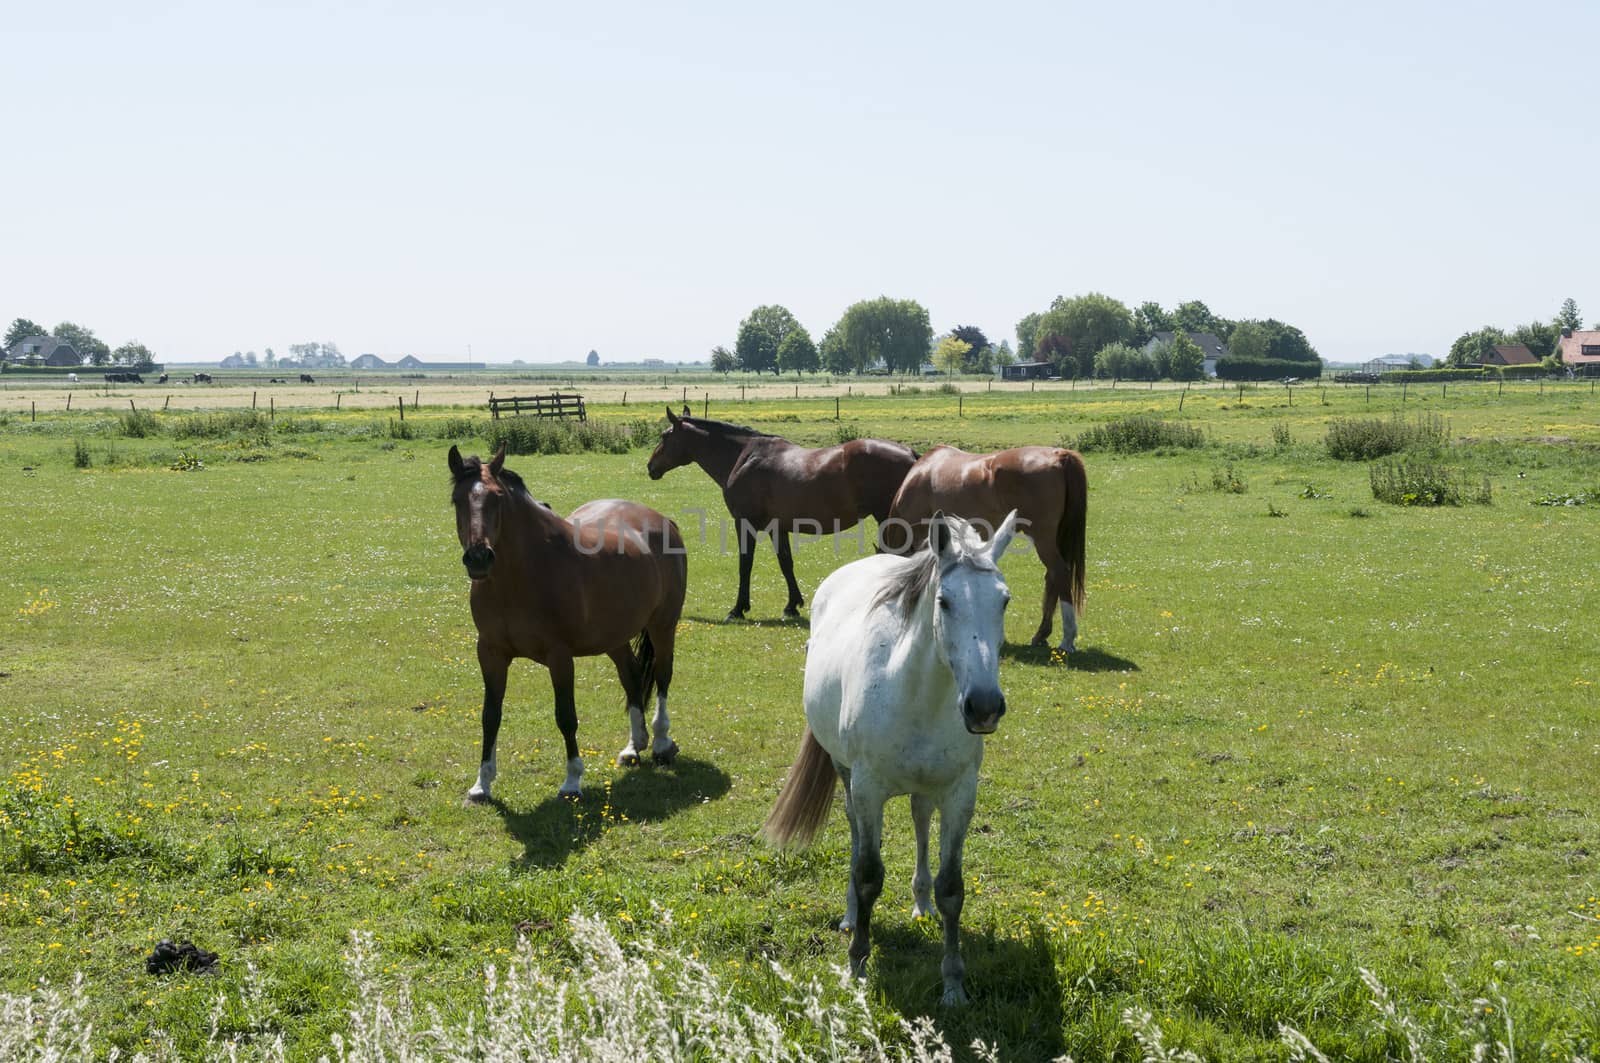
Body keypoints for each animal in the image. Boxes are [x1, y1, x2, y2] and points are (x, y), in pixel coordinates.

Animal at [444, 445, 688, 800]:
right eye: (457, 499)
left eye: (497, 498)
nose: (478, 557)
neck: (521, 575)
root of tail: (663, 521)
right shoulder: (490, 653)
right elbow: (490, 716)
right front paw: (481, 784)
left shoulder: (559, 656)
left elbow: (566, 716)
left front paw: (572, 780)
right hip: (614, 637)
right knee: (631, 678)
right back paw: (633, 747)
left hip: (663, 627)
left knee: (663, 677)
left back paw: (661, 743)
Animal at [646, 408, 921, 624]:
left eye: (665, 436)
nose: (650, 467)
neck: (743, 457)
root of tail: (910, 454)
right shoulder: (777, 528)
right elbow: (785, 563)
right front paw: (792, 605)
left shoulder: (744, 523)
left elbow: (745, 564)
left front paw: (738, 609)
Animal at [758, 512, 1011, 1011]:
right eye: (944, 601)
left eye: (1004, 601)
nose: (984, 706)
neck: (915, 695)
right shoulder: (869, 787)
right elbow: (868, 873)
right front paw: (857, 965)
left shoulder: (960, 793)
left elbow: (952, 887)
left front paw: (953, 984)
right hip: (847, 776)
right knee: (856, 832)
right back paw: (851, 915)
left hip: (926, 788)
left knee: (919, 818)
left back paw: (921, 904)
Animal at [889, 445, 1088, 653]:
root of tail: (1059, 455)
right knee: (1052, 577)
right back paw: (1042, 634)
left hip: (1042, 538)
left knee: (1059, 573)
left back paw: (1067, 640)